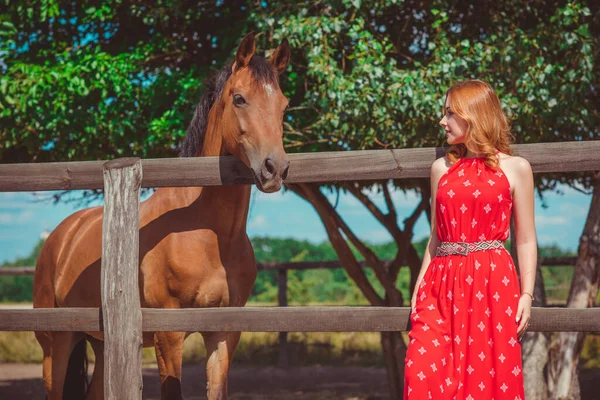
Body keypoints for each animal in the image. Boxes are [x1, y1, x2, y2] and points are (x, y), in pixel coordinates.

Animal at [32, 32, 290, 400]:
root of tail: (62, 235)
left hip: (102, 344)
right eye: (240, 98)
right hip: (56, 346)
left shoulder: (224, 333)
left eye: (283, 104)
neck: (206, 235)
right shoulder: (169, 336)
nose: (275, 168)